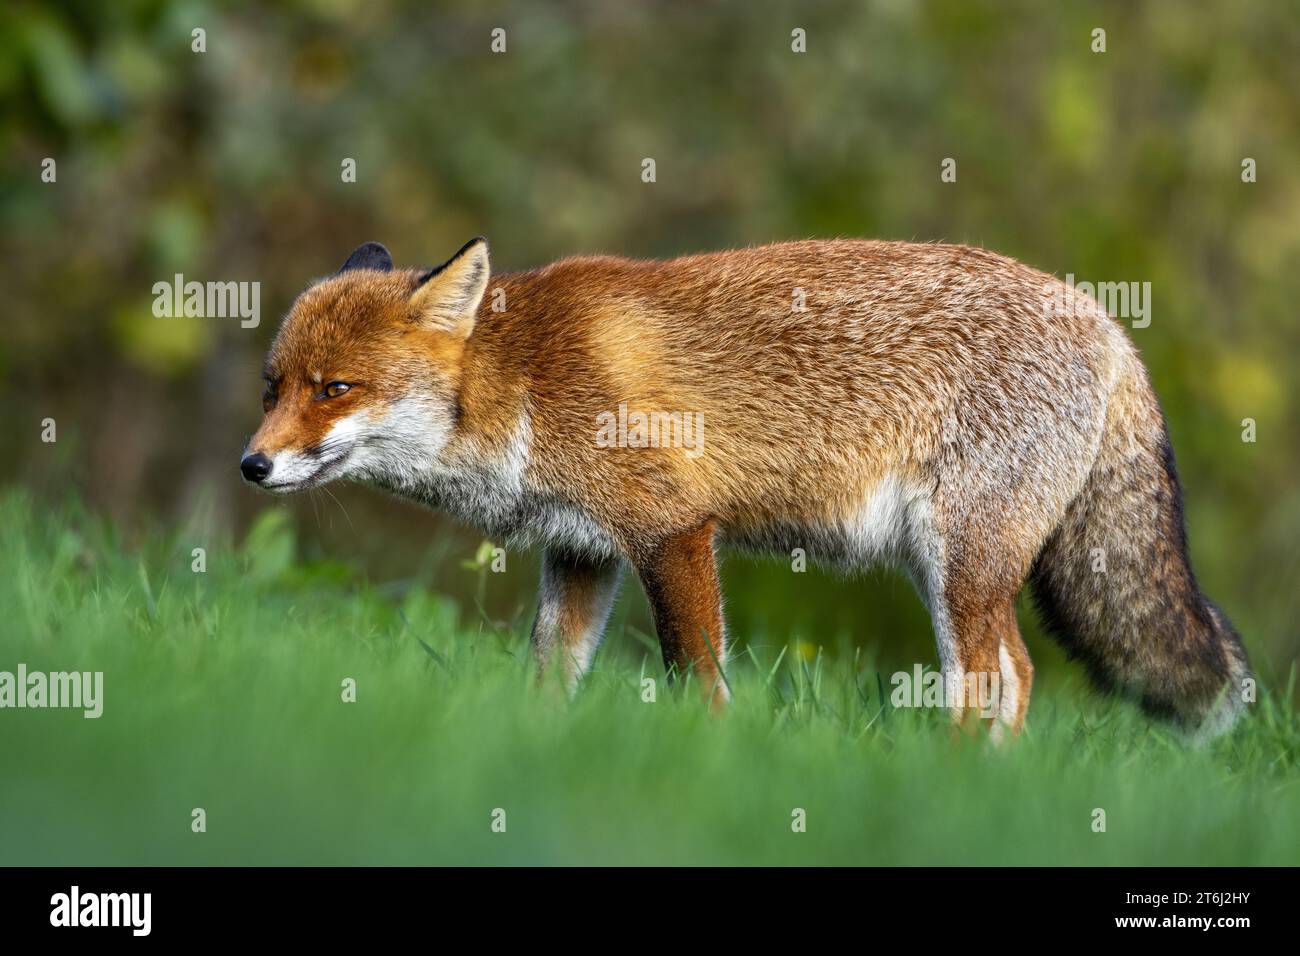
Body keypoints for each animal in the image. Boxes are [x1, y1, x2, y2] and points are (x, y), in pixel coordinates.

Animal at [241, 237, 1251, 738]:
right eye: (272, 387)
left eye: (336, 389)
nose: (252, 466)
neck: (523, 383)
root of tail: (1111, 327)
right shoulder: (582, 550)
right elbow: (548, 676)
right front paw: (530, 751)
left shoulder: (673, 529)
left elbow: (699, 679)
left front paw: (712, 764)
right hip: (959, 568)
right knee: (1019, 677)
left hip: (958, 561)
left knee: (992, 681)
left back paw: (951, 784)